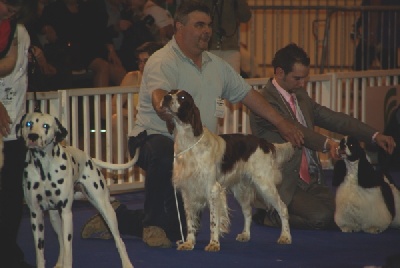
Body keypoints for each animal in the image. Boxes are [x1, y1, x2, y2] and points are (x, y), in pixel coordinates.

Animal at [17, 112, 137, 268]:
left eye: (45, 125)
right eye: (29, 124)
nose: (33, 136)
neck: (44, 169)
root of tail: (88, 157)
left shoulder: (67, 213)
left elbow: (69, 250)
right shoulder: (36, 216)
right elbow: (41, 253)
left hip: (106, 210)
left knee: (119, 240)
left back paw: (127, 263)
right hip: (54, 217)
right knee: (61, 241)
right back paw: (59, 263)